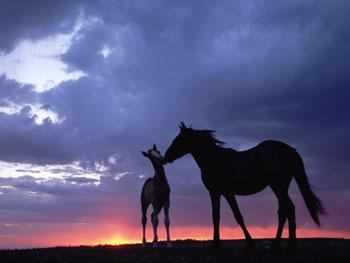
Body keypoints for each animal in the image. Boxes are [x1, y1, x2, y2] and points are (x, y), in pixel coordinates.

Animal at [164, 122, 326, 253]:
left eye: (178, 140)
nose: (166, 156)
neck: (214, 160)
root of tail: (290, 149)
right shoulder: (221, 193)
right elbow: (221, 217)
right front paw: (220, 244)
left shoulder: (220, 193)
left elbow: (232, 217)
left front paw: (237, 244)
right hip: (280, 188)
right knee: (283, 212)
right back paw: (277, 246)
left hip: (278, 187)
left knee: (289, 209)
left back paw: (290, 247)